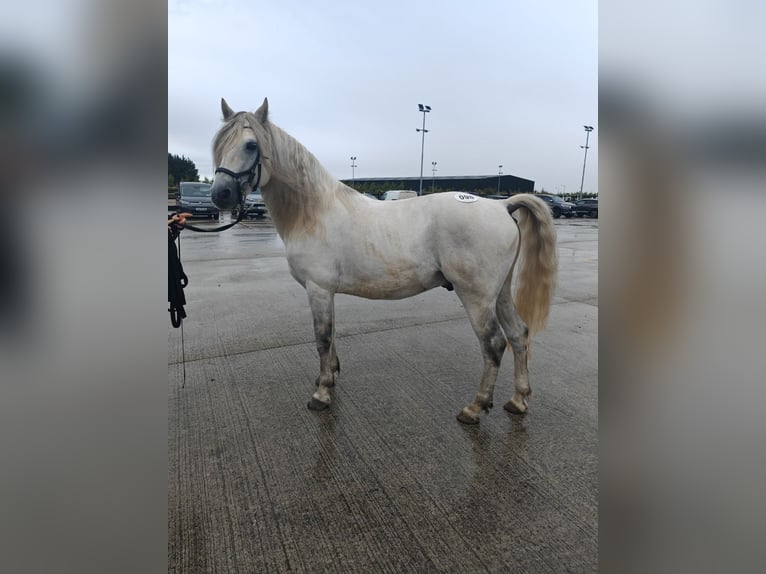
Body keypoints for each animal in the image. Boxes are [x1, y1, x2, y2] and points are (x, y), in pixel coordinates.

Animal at [210, 98, 560, 424]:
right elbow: (331, 336)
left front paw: (321, 394)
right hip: (499, 293)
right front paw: (330, 377)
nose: (220, 195)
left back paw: (475, 407)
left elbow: (322, 338)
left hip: (477, 297)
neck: (314, 213)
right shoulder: (326, 291)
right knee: (518, 335)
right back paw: (518, 400)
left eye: (251, 145)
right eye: (219, 144)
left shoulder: (318, 288)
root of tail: (501, 206)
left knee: (494, 344)